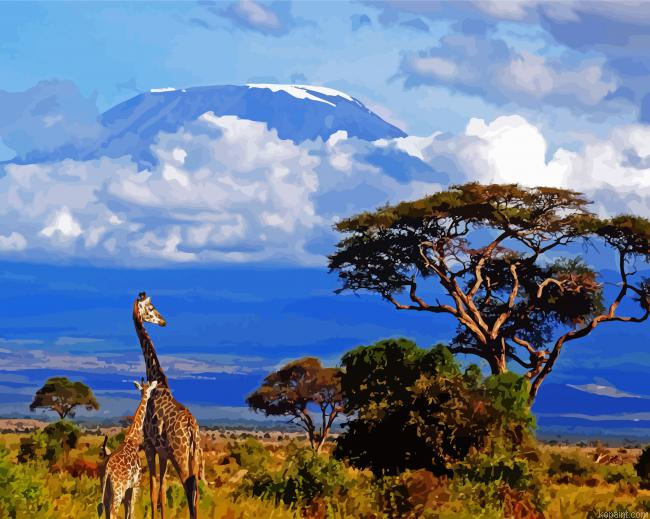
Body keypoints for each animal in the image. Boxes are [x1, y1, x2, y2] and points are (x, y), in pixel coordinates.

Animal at [98, 379, 158, 519]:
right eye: (149, 389)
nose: (149, 396)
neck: (132, 439)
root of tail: (107, 470)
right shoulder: (135, 484)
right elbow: (132, 511)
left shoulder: (128, 488)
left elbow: (127, 511)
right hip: (118, 490)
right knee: (113, 512)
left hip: (106, 491)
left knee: (106, 511)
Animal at [133, 292, 203, 519]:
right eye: (151, 307)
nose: (163, 321)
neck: (157, 379)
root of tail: (191, 428)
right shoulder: (162, 452)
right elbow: (162, 490)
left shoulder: (149, 446)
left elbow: (153, 489)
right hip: (194, 454)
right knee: (196, 489)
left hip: (179, 454)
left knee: (189, 486)